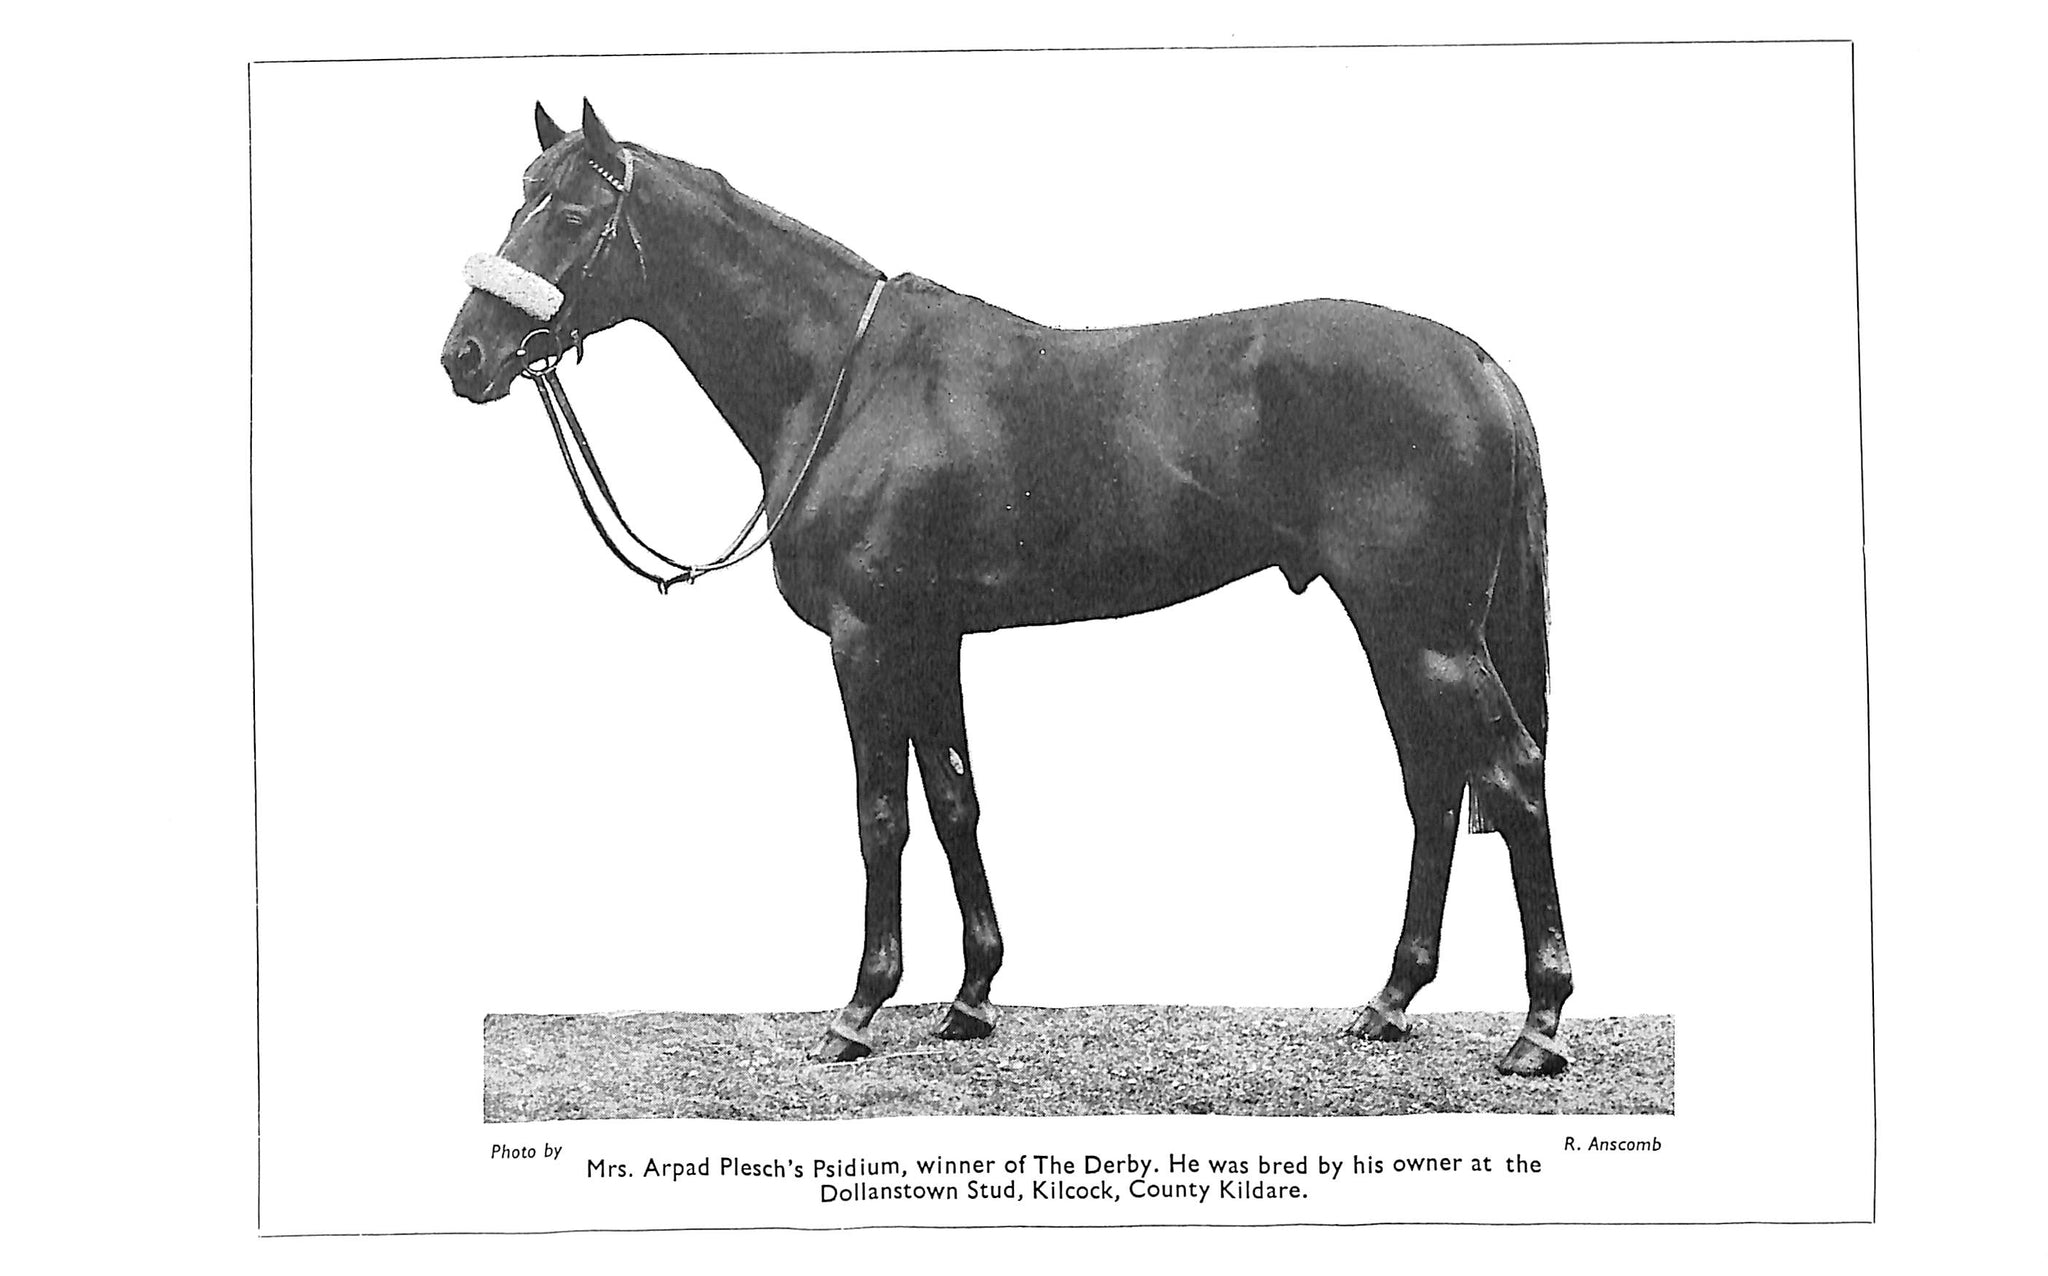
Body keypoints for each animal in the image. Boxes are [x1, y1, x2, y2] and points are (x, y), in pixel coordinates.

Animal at [441, 100, 1574, 1076]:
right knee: (1433, 786)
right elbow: (954, 800)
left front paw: (860, 1007)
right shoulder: (929, 637)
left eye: (572, 215)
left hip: (1423, 630)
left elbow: (880, 815)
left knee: (1511, 774)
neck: (848, 382)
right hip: (1395, 630)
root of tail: (1481, 366)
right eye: (518, 199)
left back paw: (1539, 1025)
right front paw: (970, 996)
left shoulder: (864, 638)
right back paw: (1390, 1000)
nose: (466, 355)